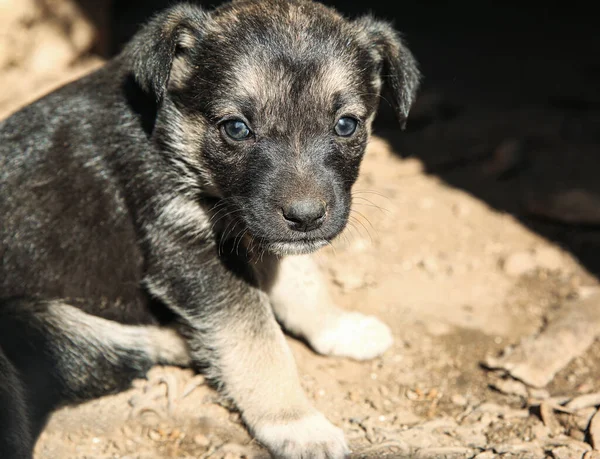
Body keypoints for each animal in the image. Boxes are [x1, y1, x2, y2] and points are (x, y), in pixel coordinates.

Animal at [0, 1, 420, 458]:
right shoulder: (189, 252)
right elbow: (258, 340)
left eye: (346, 125)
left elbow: (303, 281)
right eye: (236, 128)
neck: (171, 134)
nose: (306, 216)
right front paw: (298, 423)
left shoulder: (265, 232)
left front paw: (337, 328)